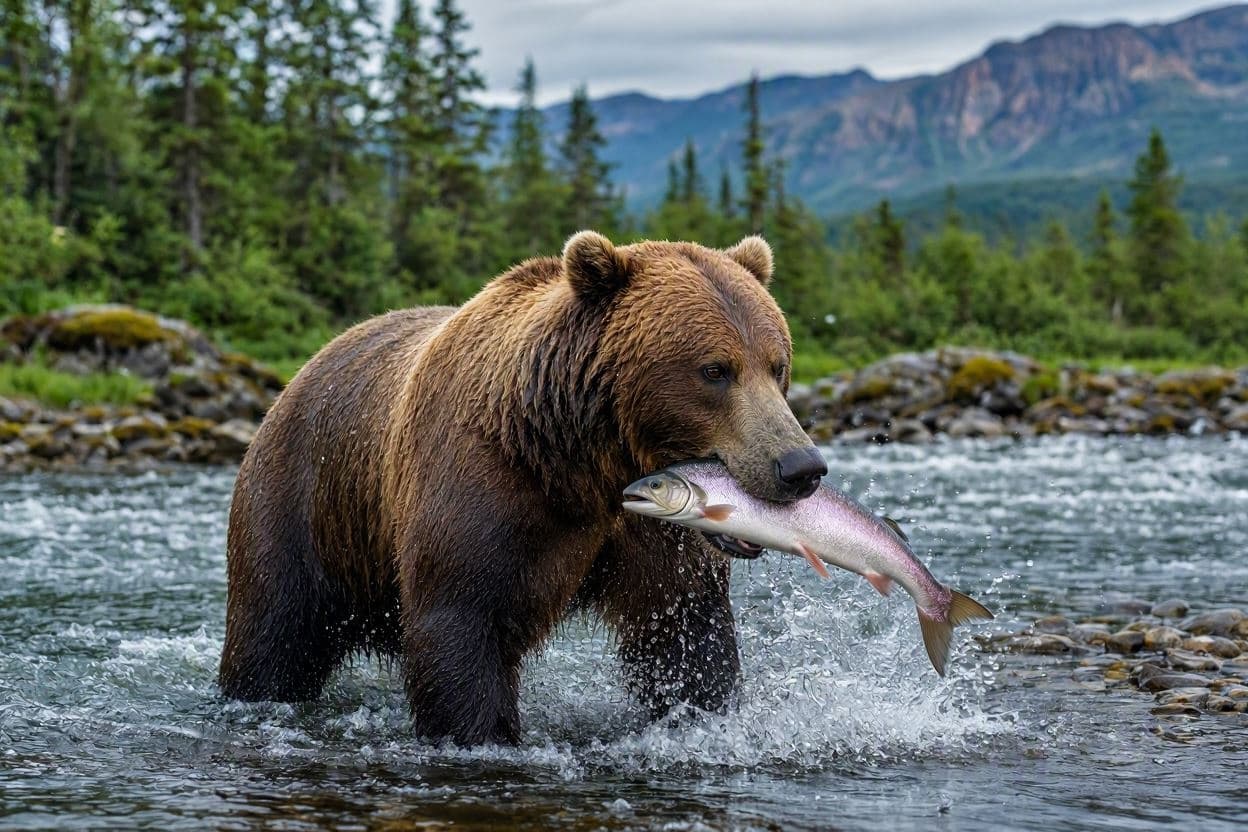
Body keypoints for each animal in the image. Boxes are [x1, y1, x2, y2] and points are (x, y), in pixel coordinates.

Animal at [217, 231, 827, 745]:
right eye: (715, 370)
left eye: (777, 364)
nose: (800, 466)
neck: (583, 463)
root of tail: (304, 370)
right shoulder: (484, 488)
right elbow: (462, 622)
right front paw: (482, 733)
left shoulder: (654, 534)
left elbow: (685, 635)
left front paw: (702, 711)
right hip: (302, 502)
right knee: (272, 634)